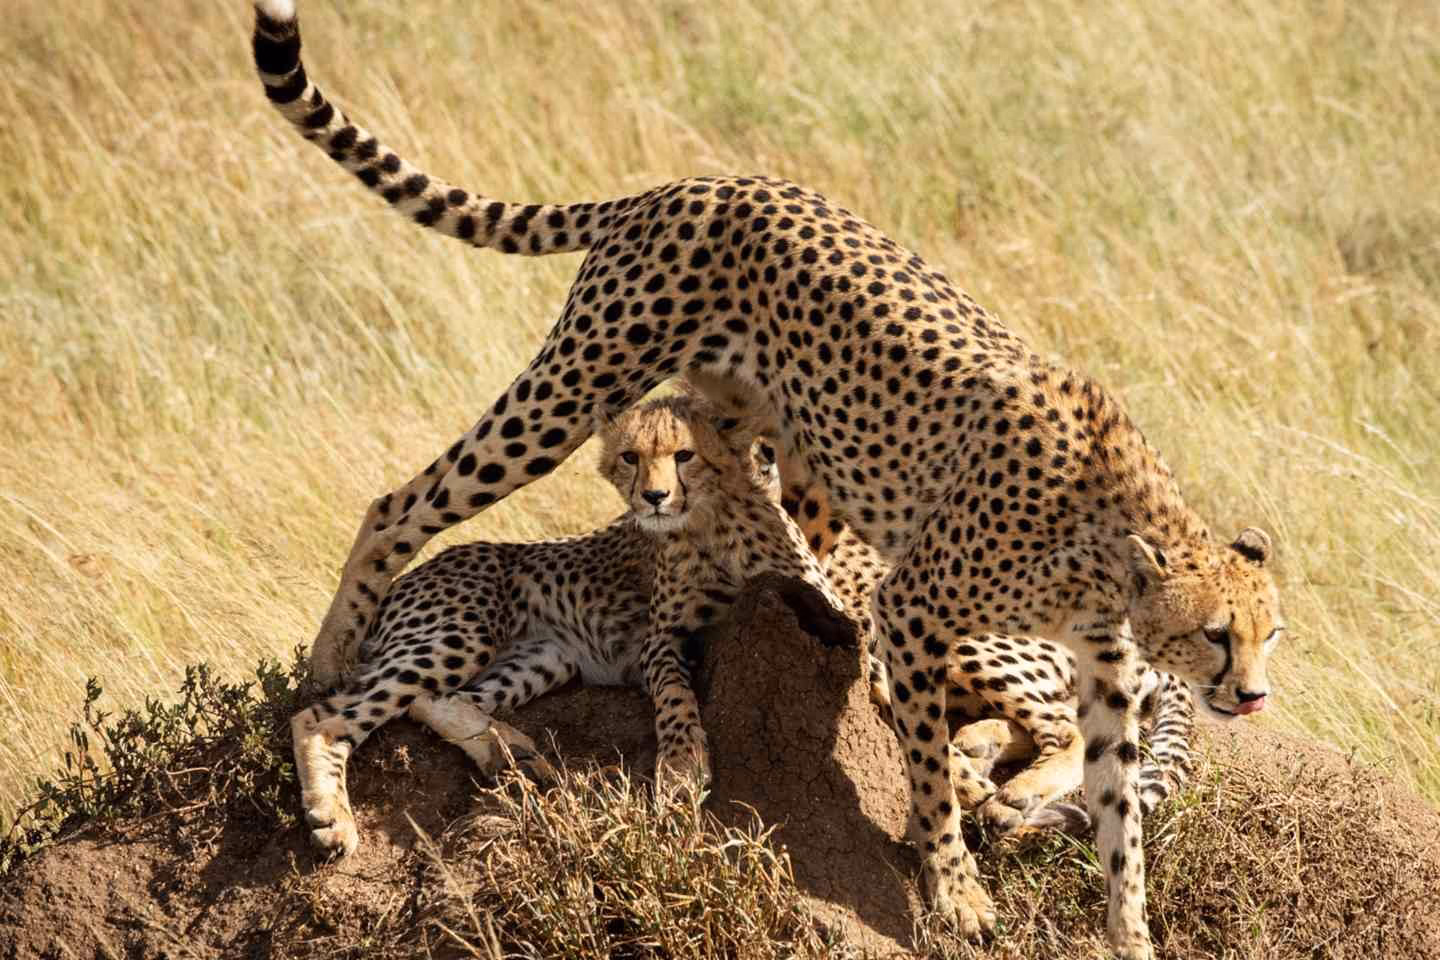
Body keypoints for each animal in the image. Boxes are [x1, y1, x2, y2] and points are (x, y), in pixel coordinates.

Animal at [290, 391, 855, 856]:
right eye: (630, 457)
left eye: (683, 455)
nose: (653, 497)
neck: (713, 518)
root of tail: (397, 586)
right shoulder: (660, 641)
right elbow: (675, 697)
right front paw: (680, 768)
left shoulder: (821, 611)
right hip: (460, 634)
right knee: (322, 717)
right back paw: (332, 819)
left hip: (545, 656)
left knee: (435, 700)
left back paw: (508, 754)